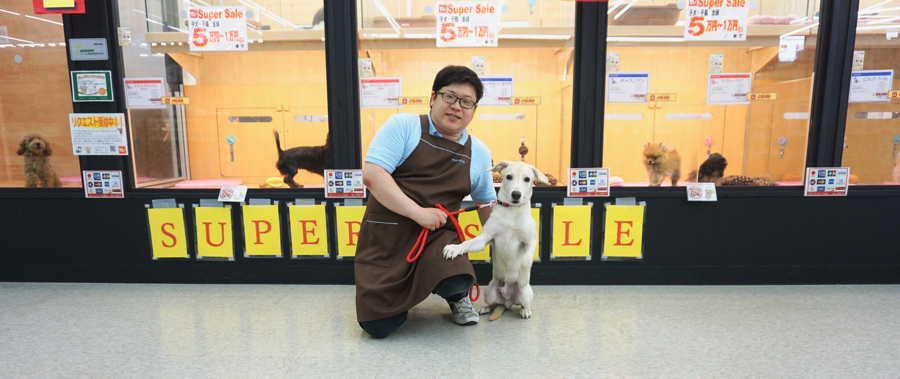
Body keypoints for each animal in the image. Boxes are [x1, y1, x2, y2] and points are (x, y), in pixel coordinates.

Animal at [442, 160, 548, 320]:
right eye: (509, 176)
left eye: (527, 179)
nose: (516, 194)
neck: (512, 211)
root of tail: (508, 301)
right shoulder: (485, 238)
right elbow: (468, 243)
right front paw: (455, 248)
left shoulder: (531, 241)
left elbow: (526, 260)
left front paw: (523, 276)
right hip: (489, 292)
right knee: (493, 303)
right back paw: (486, 308)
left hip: (526, 294)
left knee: (524, 304)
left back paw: (525, 310)